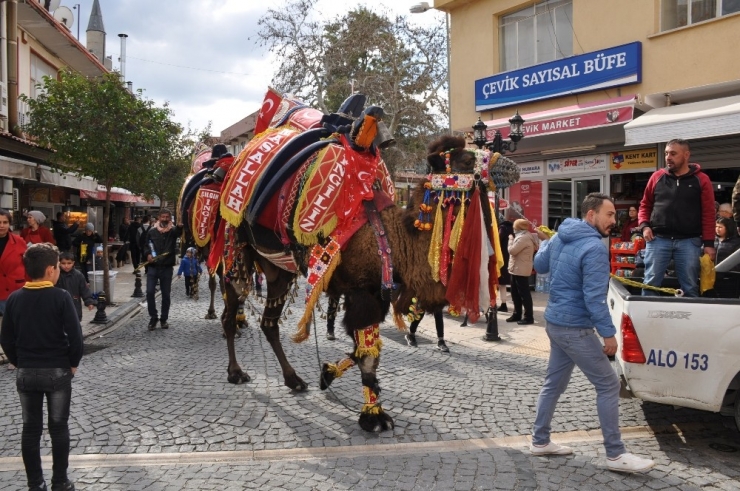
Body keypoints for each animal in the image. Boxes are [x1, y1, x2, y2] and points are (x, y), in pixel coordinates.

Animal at [184, 91, 516, 430]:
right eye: (467, 160)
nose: (511, 167)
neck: (392, 238)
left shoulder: (374, 293)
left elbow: (363, 350)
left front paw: (327, 375)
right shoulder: (361, 292)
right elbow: (366, 354)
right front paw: (373, 417)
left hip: (279, 270)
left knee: (269, 323)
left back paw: (293, 379)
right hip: (236, 249)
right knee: (231, 308)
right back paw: (236, 372)